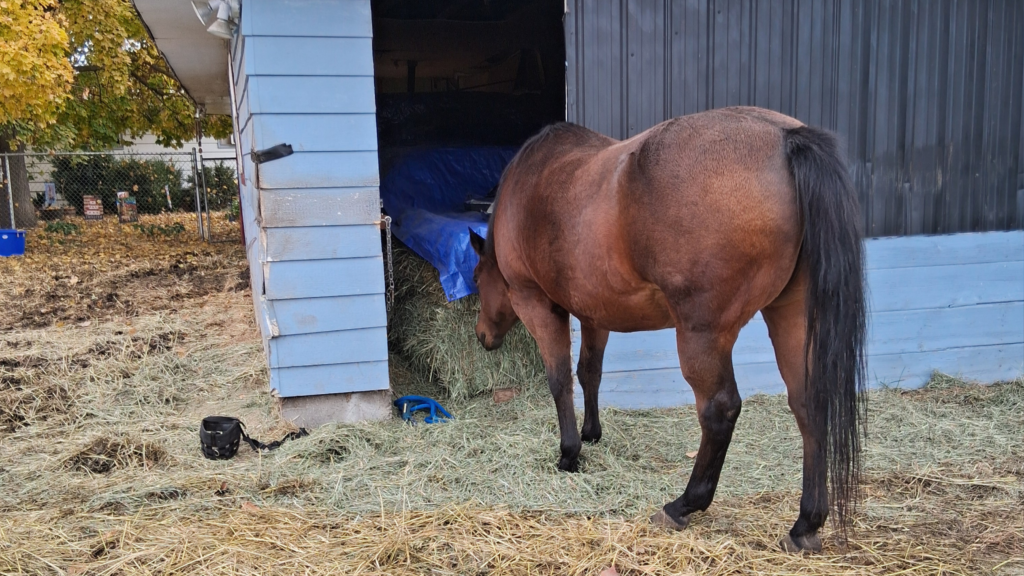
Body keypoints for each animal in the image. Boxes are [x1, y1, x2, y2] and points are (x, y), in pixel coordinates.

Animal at [468, 106, 866, 552]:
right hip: (791, 316)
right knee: (809, 405)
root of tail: (785, 137)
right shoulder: (594, 314)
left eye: (476, 277)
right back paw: (805, 525)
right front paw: (591, 433)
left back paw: (684, 505)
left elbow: (560, 381)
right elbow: (590, 373)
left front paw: (569, 453)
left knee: (719, 411)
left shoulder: (536, 304)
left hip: (702, 335)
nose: (483, 336)